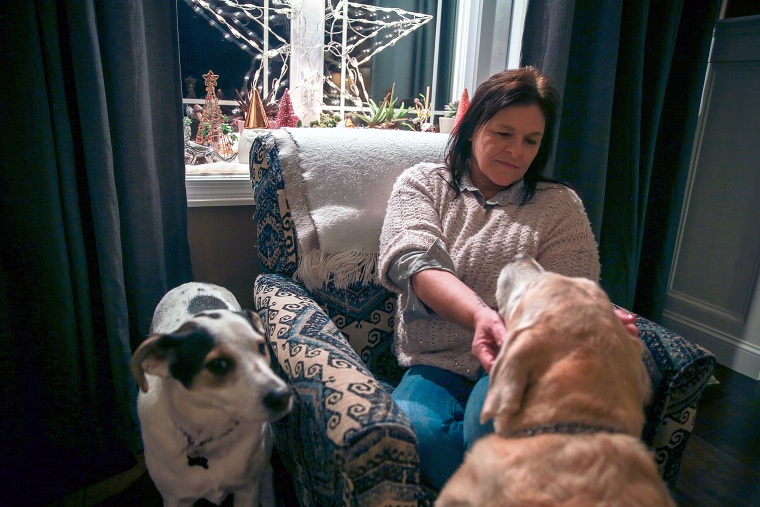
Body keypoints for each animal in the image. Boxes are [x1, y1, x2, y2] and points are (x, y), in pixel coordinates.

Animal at [131, 284, 290, 506]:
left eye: (261, 347)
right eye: (219, 365)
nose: (283, 396)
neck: (209, 433)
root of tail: (193, 283)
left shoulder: (247, 490)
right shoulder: (175, 499)